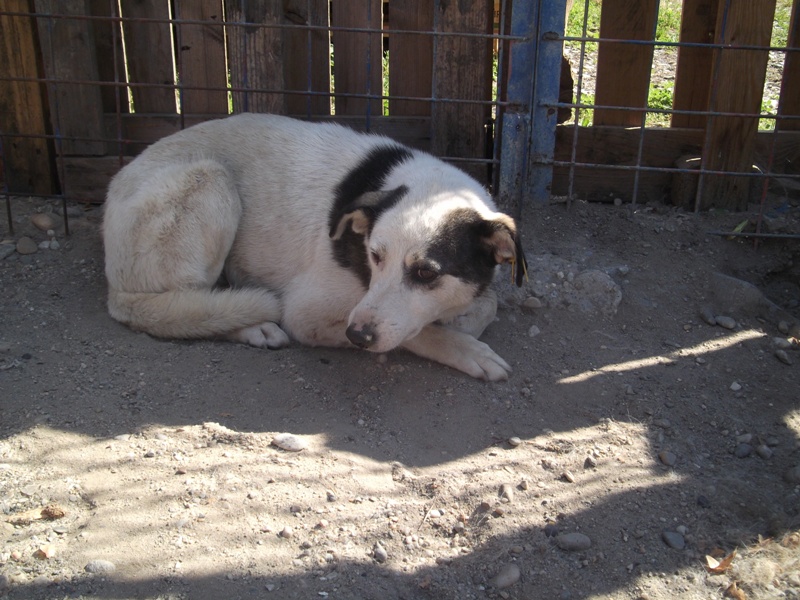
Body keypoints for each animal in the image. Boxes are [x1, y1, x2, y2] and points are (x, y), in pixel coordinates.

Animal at [102, 113, 526, 380]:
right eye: (375, 256)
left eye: (425, 273)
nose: (357, 336)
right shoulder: (308, 314)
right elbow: (415, 332)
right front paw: (464, 347)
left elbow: (485, 304)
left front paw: (462, 320)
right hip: (210, 179)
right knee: (179, 309)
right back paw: (246, 322)